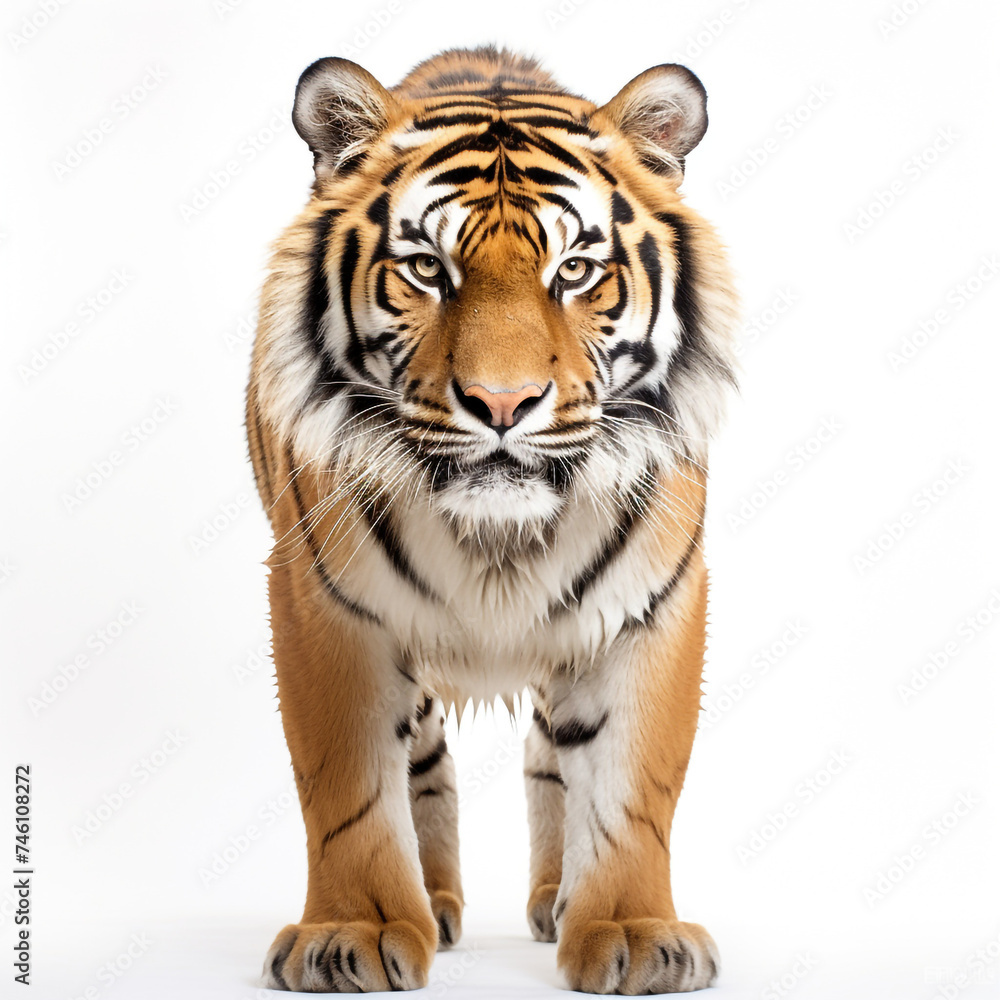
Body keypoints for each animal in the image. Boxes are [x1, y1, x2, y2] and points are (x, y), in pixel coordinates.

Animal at [245, 45, 738, 994]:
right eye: (426, 269)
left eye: (575, 271)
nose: (502, 403)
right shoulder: (325, 609)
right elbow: (348, 788)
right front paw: (354, 932)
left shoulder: (650, 606)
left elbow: (633, 782)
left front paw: (633, 931)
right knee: (423, 761)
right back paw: (433, 907)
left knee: (552, 750)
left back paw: (556, 902)